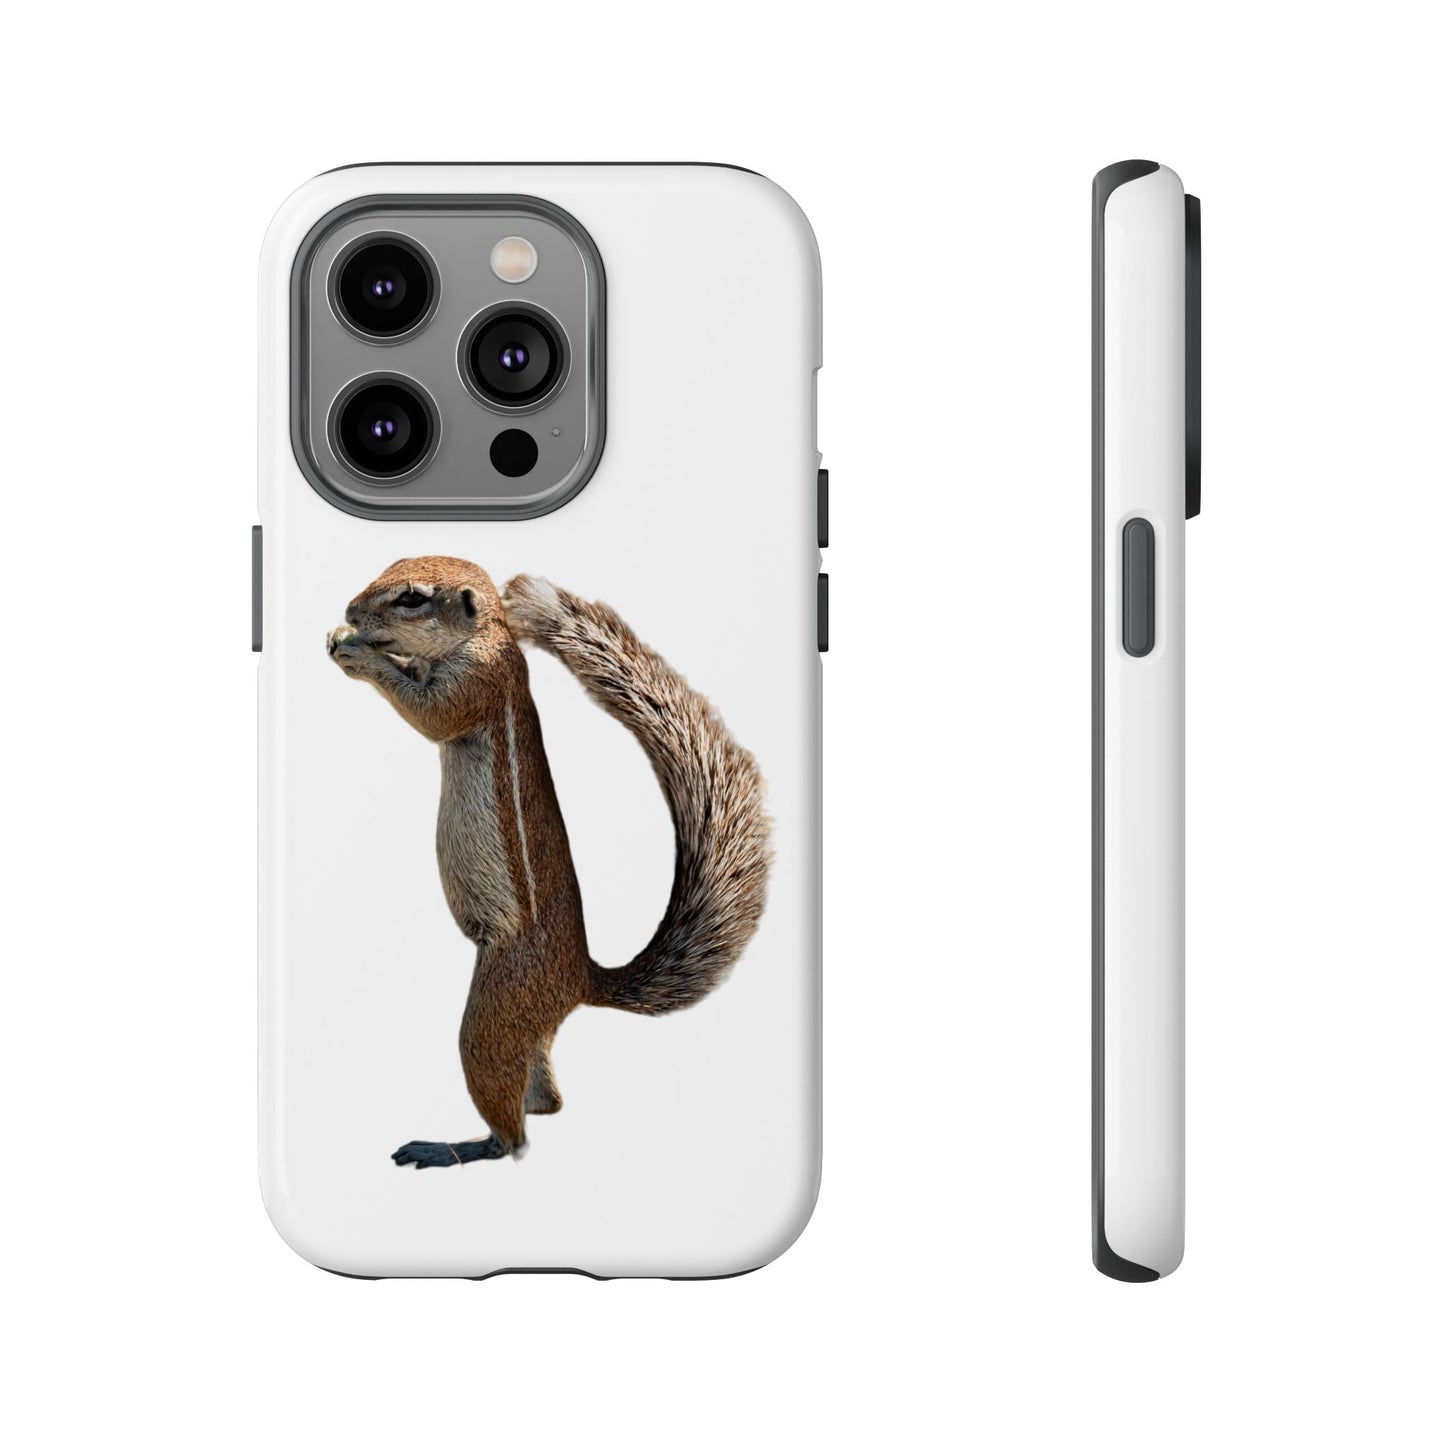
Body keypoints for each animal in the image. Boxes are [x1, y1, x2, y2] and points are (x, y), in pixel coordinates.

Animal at [326, 557, 772, 1166]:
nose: (350, 612)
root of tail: (579, 978)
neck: (485, 636)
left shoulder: (476, 682)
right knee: (548, 1096)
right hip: (523, 1029)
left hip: (495, 1010)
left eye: (412, 598)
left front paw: (359, 654)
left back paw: (456, 1147)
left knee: (513, 1134)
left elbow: (429, 713)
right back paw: (532, 1106)